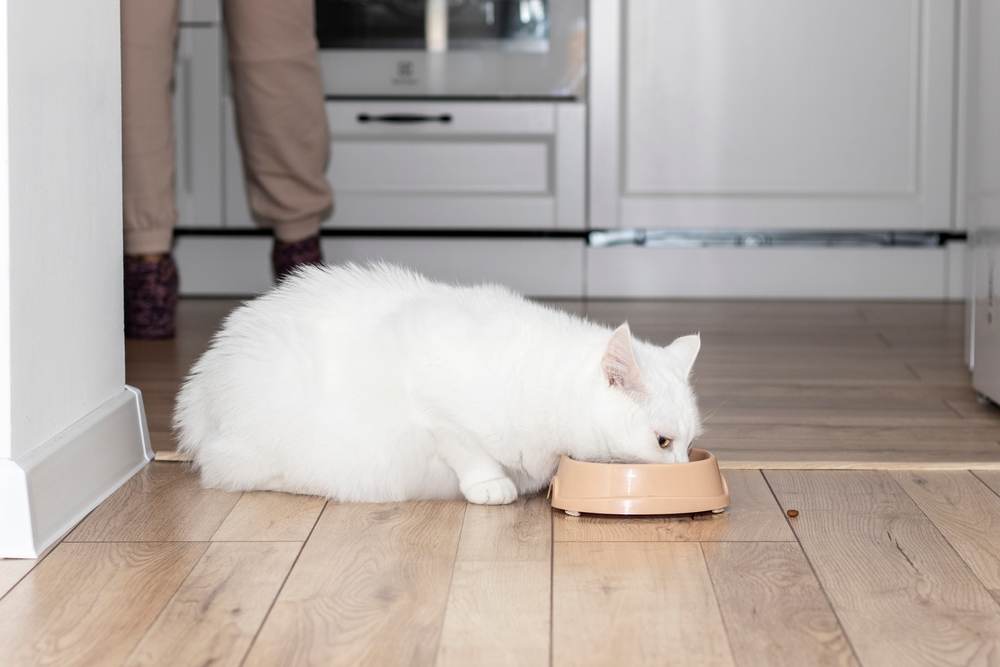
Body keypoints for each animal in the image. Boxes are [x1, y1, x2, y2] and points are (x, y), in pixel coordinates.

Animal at [174, 264, 704, 504]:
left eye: (688, 443)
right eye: (663, 442)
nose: (683, 469)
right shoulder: (429, 395)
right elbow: (466, 447)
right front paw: (492, 485)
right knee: (228, 472)